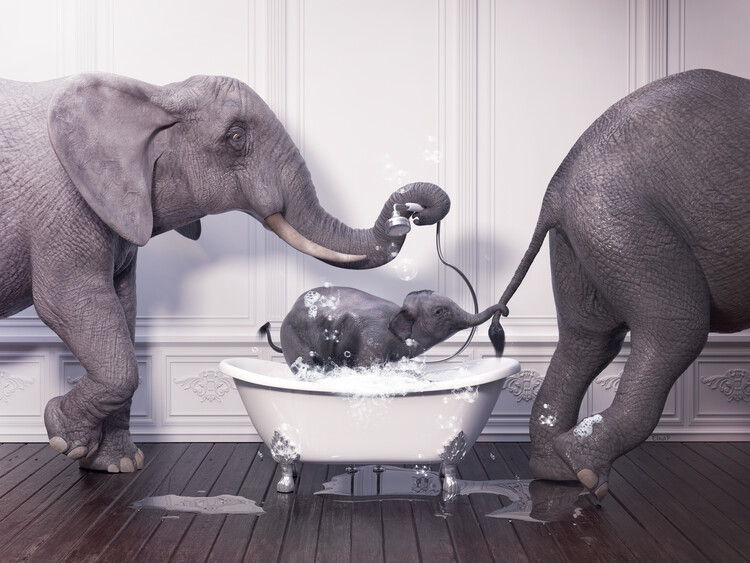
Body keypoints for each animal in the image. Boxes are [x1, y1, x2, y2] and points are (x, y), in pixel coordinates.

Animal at [0, 72, 450, 472]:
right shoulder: (64, 206)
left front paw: (116, 466)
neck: (155, 94)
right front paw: (64, 437)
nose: (411, 216)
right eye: (235, 137)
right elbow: (68, 304)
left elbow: (122, 311)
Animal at [488, 68, 750, 499]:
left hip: (581, 238)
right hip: (621, 223)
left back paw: (556, 470)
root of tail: (555, 190)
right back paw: (585, 473)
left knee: (587, 338)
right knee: (677, 330)